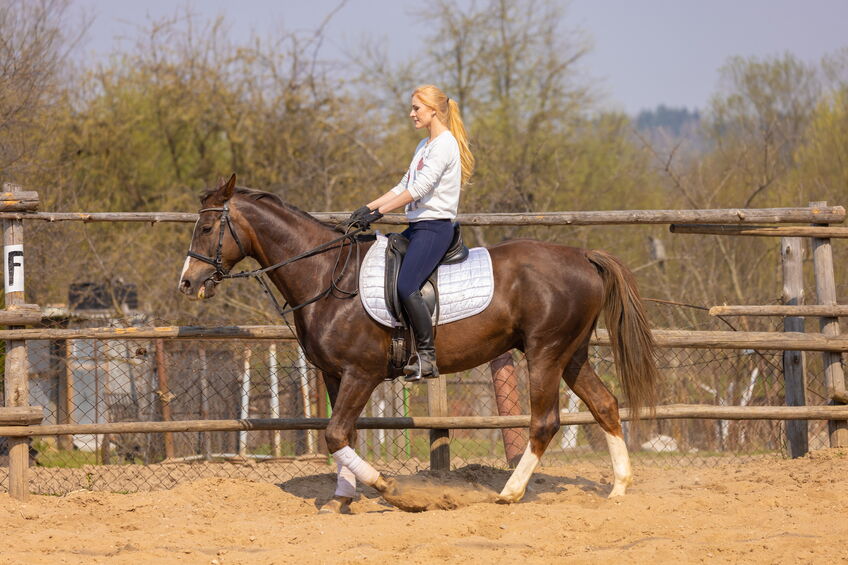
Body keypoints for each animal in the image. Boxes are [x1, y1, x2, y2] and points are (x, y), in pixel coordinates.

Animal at [177, 175, 656, 512]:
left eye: (207, 227)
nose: (188, 283)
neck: (328, 276)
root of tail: (582, 256)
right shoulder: (334, 375)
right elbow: (341, 435)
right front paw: (341, 498)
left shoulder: (361, 374)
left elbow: (335, 434)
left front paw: (391, 490)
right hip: (571, 354)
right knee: (605, 405)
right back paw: (618, 489)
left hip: (545, 353)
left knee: (544, 422)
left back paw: (510, 492)